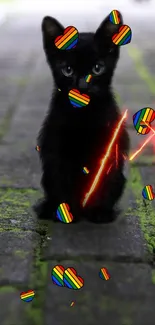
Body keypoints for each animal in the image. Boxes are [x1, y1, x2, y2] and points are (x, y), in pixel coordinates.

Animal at [34, 12, 130, 223]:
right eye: (68, 70)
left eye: (97, 68)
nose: (82, 87)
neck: (83, 116)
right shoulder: (56, 145)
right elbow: (60, 179)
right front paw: (66, 211)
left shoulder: (109, 145)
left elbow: (102, 179)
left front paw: (98, 211)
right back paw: (49, 209)